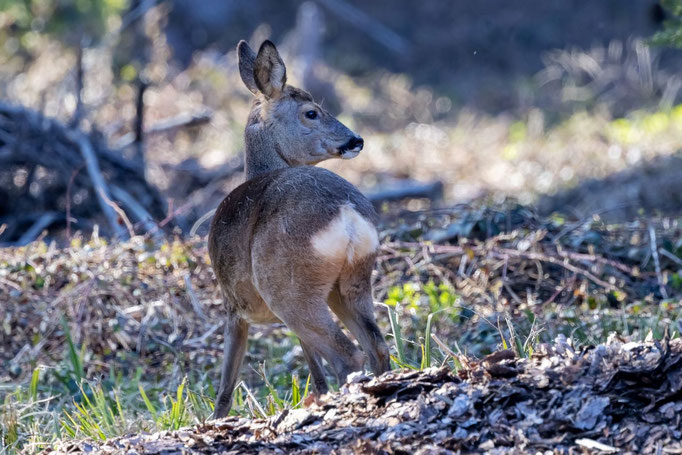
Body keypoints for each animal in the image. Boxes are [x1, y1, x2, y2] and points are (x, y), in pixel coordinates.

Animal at [208, 40, 391, 419]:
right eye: (311, 113)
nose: (356, 140)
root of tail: (347, 213)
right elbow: (312, 367)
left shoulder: (233, 304)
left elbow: (227, 383)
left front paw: (215, 421)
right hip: (351, 282)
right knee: (376, 346)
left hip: (287, 286)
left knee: (348, 355)